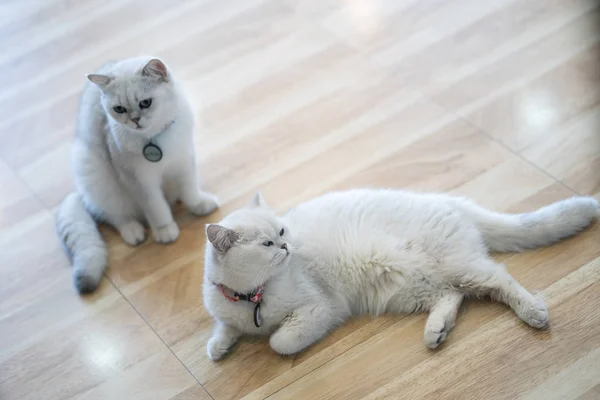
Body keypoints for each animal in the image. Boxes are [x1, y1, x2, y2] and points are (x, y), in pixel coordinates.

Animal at [56, 56, 218, 294]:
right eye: (119, 109)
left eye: (145, 103)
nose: (135, 120)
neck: (156, 140)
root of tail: (80, 193)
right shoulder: (140, 182)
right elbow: (157, 208)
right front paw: (165, 231)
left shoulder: (184, 160)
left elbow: (190, 190)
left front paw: (198, 206)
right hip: (94, 174)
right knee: (114, 216)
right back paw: (134, 232)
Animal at [204, 188, 596, 360]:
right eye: (267, 243)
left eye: (282, 232)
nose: (287, 247)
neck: (252, 297)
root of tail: (448, 200)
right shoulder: (226, 310)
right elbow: (224, 329)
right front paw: (218, 347)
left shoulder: (318, 308)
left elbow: (279, 342)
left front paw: (272, 339)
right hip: (408, 287)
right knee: (452, 296)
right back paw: (436, 332)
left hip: (457, 266)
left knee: (500, 280)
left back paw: (534, 312)